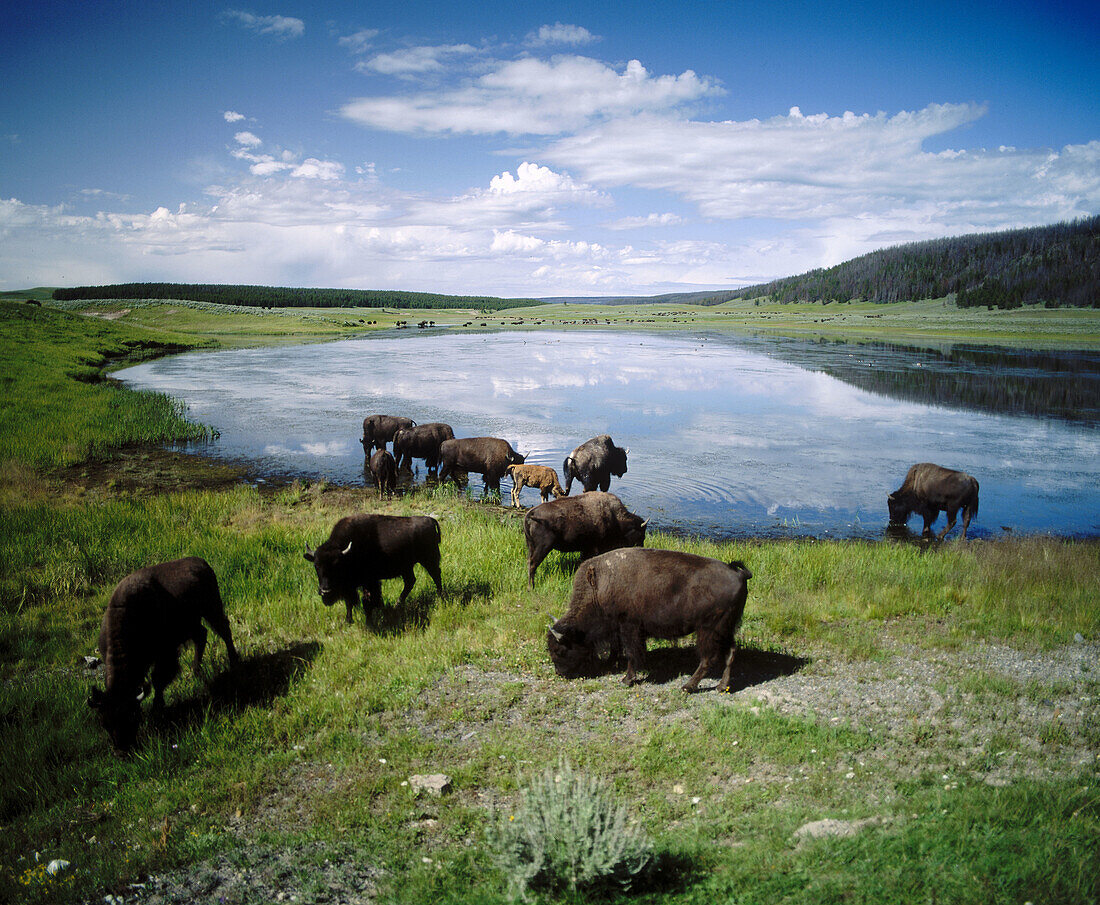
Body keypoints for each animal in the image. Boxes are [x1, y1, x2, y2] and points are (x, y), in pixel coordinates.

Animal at [89, 556, 239, 752]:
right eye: (105, 722)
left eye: (132, 715)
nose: (122, 750)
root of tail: (202, 562)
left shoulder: (165, 653)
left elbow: (158, 680)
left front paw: (157, 708)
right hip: (193, 623)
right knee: (202, 636)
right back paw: (196, 672)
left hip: (211, 608)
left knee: (224, 631)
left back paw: (234, 661)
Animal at [305, 512, 442, 624]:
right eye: (316, 565)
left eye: (337, 565)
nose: (325, 591)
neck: (348, 553)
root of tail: (429, 520)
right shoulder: (350, 587)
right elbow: (349, 602)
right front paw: (348, 620)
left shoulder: (369, 582)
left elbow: (367, 601)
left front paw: (369, 622)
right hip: (407, 567)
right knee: (410, 581)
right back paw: (397, 605)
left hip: (428, 560)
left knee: (436, 576)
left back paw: (440, 597)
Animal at [547, 547, 752, 699]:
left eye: (560, 650)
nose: (559, 673)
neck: (597, 588)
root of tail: (739, 574)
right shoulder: (619, 629)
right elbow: (617, 648)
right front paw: (613, 664)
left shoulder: (629, 627)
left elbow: (632, 653)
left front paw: (627, 679)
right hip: (726, 629)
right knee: (730, 653)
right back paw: (721, 687)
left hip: (708, 630)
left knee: (708, 659)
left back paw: (687, 687)